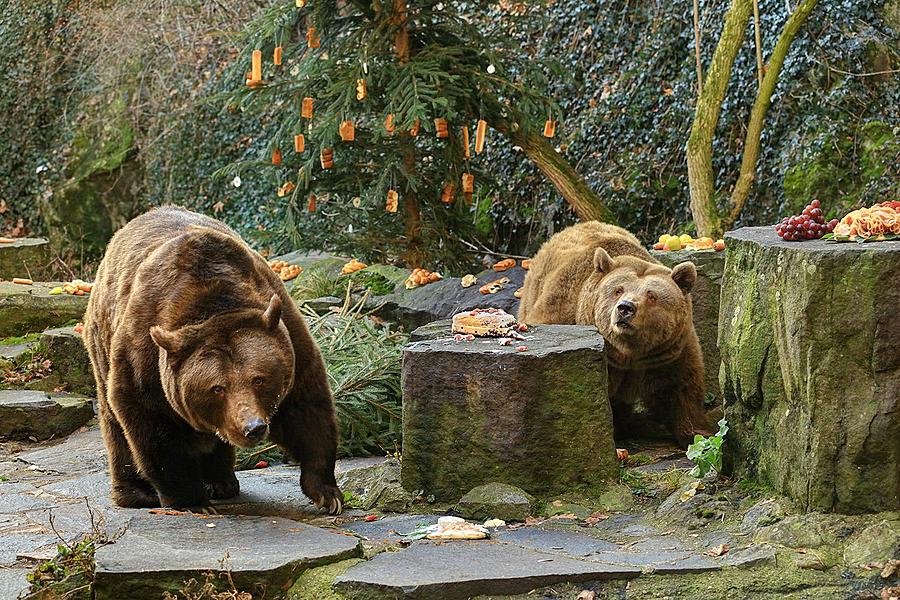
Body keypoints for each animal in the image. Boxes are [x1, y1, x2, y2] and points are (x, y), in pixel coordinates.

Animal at [82, 205, 342, 510]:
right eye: (217, 388)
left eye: (259, 379)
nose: (253, 428)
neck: (212, 305)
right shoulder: (145, 357)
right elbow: (153, 429)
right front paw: (191, 500)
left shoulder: (287, 333)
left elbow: (306, 409)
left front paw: (326, 492)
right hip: (102, 342)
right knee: (115, 424)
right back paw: (136, 493)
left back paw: (221, 481)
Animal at [520, 220, 712, 446]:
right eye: (618, 290)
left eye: (652, 296)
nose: (625, 308)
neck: (629, 354)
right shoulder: (563, 311)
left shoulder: (669, 353)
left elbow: (682, 389)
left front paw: (698, 434)